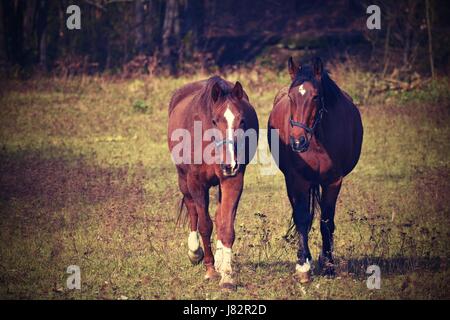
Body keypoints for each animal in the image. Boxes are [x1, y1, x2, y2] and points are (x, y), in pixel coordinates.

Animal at [168, 75, 260, 290]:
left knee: (218, 216)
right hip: (183, 179)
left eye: (242, 120)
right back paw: (195, 252)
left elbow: (225, 226)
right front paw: (209, 270)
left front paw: (226, 275)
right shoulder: (196, 182)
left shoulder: (232, 180)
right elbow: (204, 225)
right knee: (192, 210)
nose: (230, 164)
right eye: (215, 121)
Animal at [268, 57, 364, 282]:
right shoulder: (297, 180)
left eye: (316, 96)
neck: (318, 140)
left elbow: (326, 222)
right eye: (291, 97)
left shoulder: (333, 181)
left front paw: (328, 264)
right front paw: (303, 266)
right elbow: (302, 218)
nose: (297, 141)